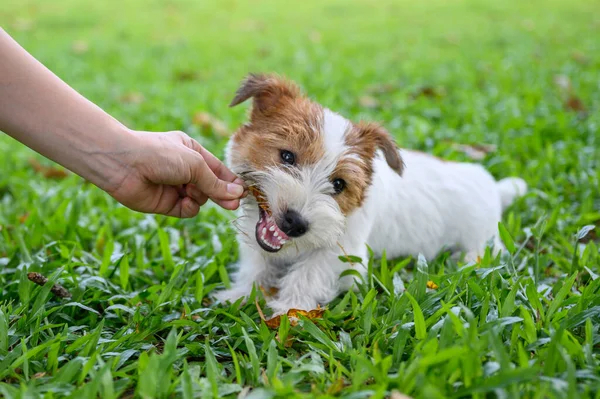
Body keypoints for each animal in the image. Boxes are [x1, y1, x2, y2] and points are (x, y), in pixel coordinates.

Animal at [216, 73, 524, 314]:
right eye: (287, 156)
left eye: (338, 185)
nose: (296, 223)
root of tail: (492, 185)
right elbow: (256, 267)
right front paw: (240, 295)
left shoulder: (343, 253)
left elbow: (307, 274)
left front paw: (290, 308)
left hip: (484, 239)